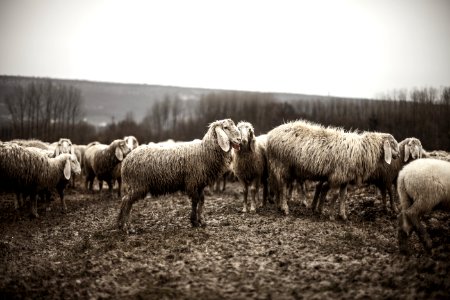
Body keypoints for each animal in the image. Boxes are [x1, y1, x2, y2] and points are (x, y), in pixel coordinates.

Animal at [266, 119, 400, 220]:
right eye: (392, 144)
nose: (398, 155)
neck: (362, 149)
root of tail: (271, 134)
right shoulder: (337, 176)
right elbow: (335, 195)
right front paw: (331, 215)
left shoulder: (345, 177)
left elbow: (343, 196)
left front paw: (343, 215)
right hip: (281, 164)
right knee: (282, 187)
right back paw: (285, 208)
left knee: (279, 186)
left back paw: (279, 206)